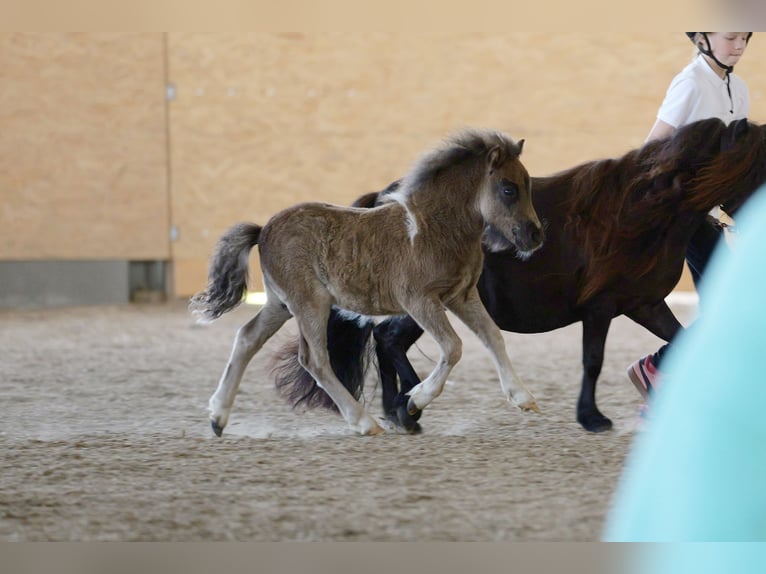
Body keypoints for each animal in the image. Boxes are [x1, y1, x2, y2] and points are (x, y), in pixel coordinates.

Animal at [190, 129, 545, 436]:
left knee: (248, 338)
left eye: (528, 185)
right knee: (315, 360)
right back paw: (364, 422)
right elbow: (453, 347)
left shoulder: (462, 296)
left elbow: (492, 336)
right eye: (509, 189)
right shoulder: (419, 301)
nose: (535, 235)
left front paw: (523, 397)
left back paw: (218, 418)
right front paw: (414, 400)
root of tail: (263, 230)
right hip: (310, 304)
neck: (434, 230)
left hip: (280, 304)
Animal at [270, 118, 766, 433]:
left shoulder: (643, 303)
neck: (641, 212)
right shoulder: (601, 307)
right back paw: (405, 408)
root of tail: (384, 198)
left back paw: (400, 412)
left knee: (385, 341)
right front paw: (592, 418)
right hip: (420, 305)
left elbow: (681, 341)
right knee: (388, 340)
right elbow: (593, 360)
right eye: (760, 166)